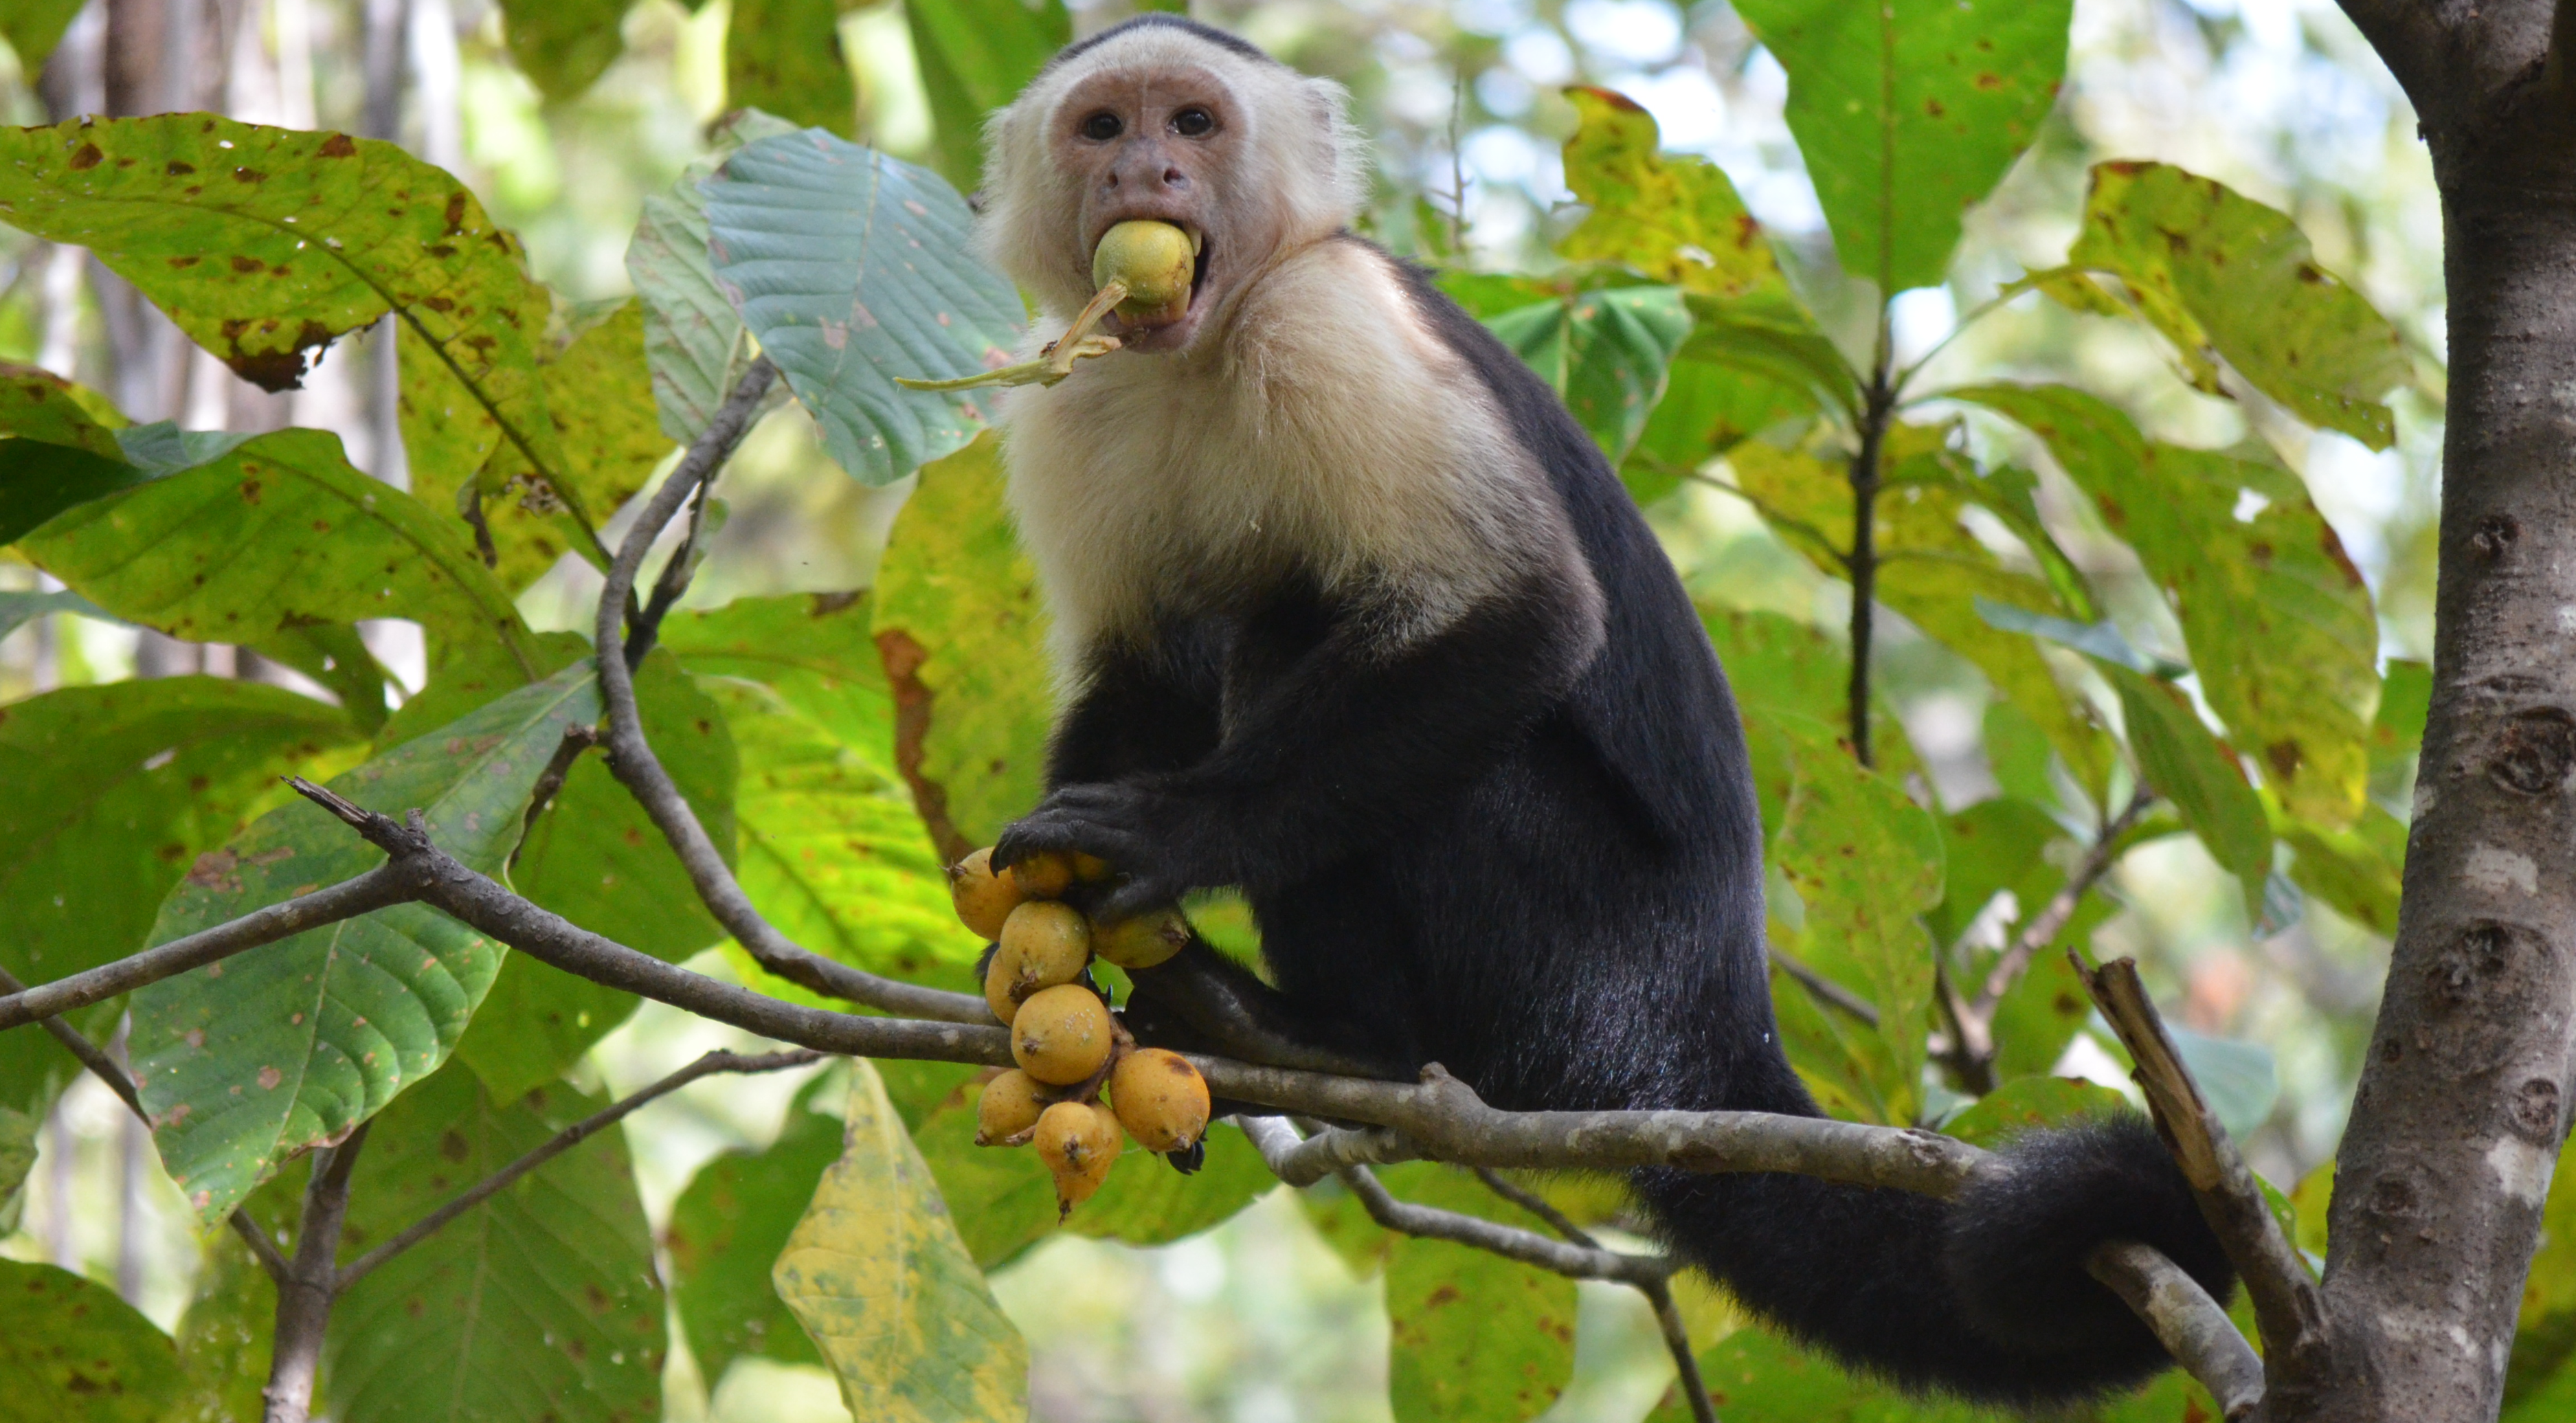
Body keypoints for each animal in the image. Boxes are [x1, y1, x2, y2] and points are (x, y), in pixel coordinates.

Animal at [974, 16, 2226, 1402]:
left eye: (1192, 123)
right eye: (1102, 126)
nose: (1144, 174)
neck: (1200, 346)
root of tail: (1709, 1019)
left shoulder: (1332, 322)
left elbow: (1526, 618)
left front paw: (1175, 835)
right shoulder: (1070, 396)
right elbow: (1140, 676)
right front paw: (1044, 915)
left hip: (1583, 961)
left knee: (1305, 640)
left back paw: (1332, 1033)